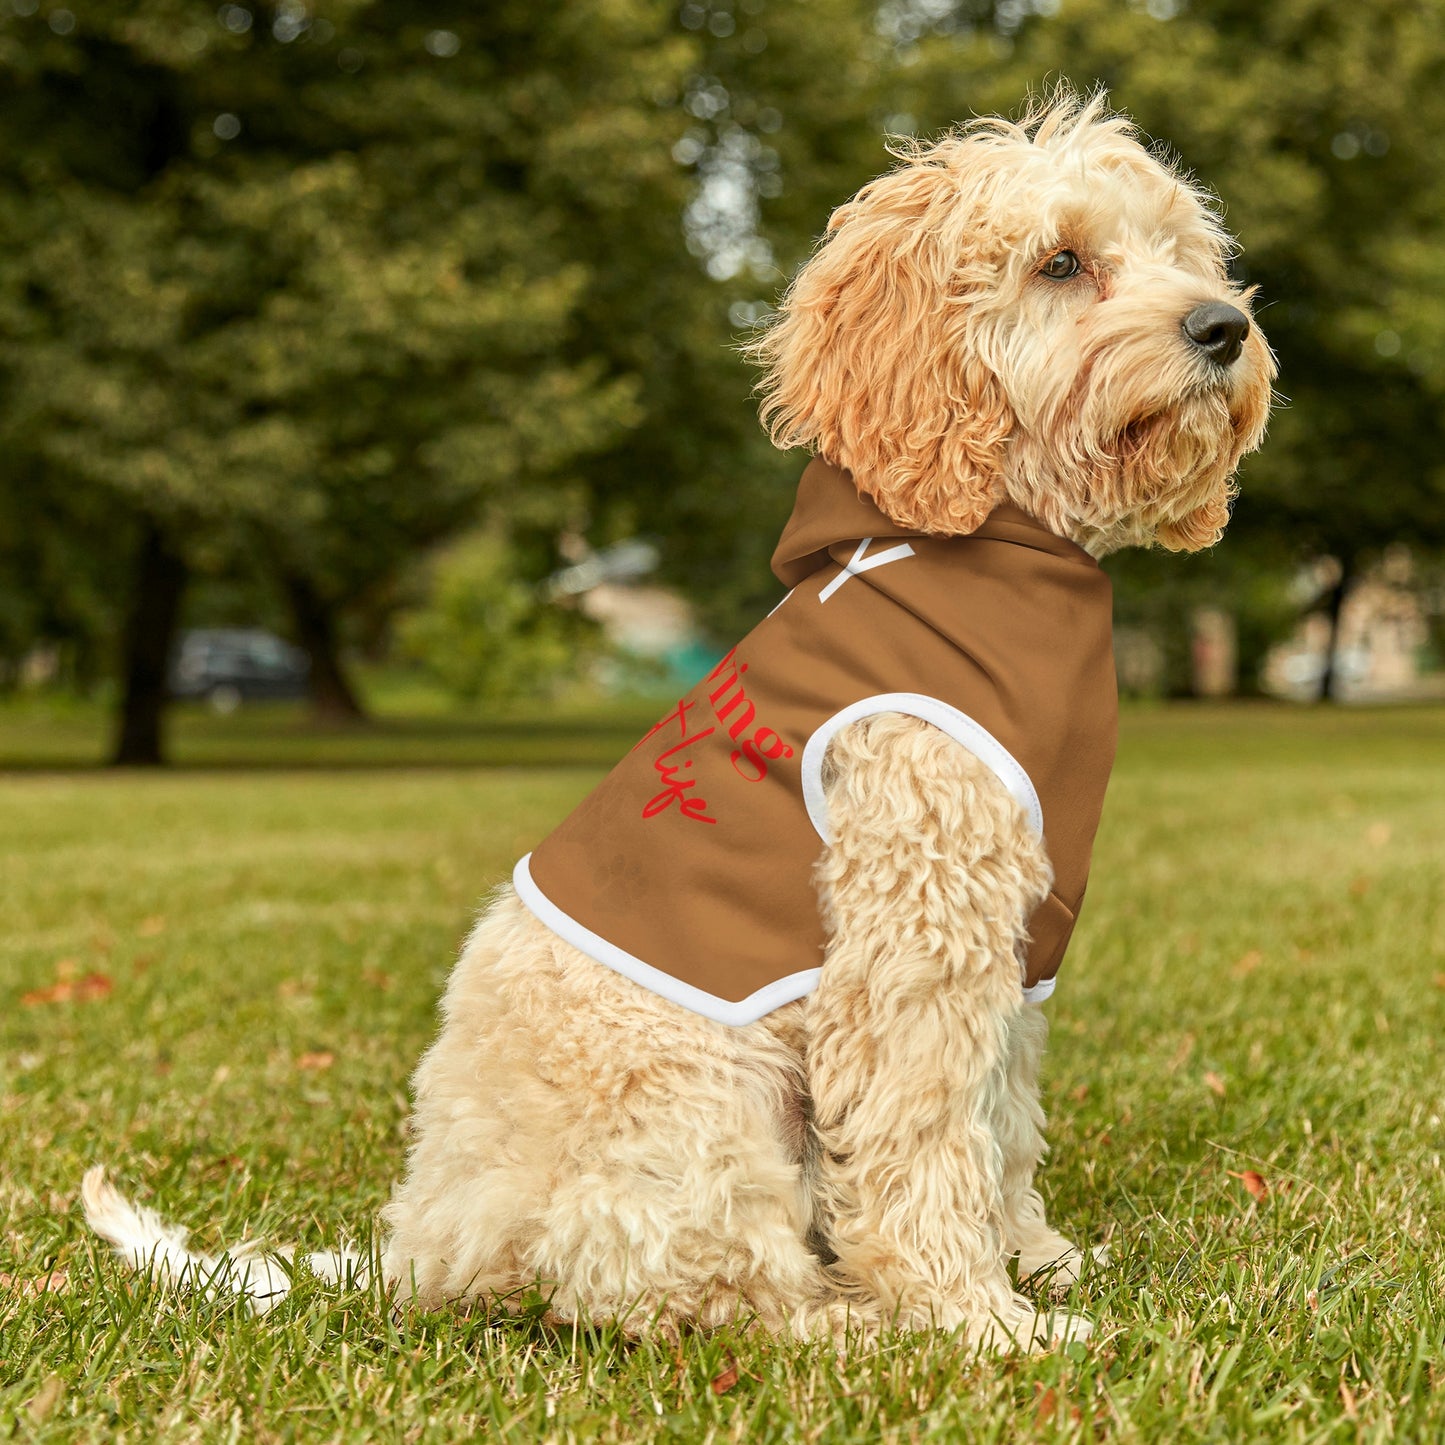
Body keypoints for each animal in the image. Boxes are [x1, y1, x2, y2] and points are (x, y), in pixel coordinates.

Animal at [84, 93, 1271, 1352]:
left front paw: (1034, 1259)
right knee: (699, 1290)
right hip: (704, 1102)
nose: (1222, 327)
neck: (995, 543)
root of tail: (424, 1245)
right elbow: (923, 1138)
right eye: (1060, 262)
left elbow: (999, 1121)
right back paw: (851, 1322)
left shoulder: (1013, 941)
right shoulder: (913, 936)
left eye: (1181, 252)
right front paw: (976, 1318)